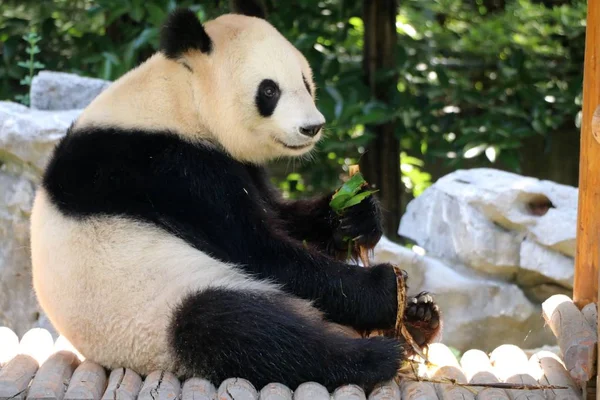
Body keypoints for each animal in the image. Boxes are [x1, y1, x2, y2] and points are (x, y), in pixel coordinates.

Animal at [29, 0, 440, 394]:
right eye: (269, 90)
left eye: (305, 82)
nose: (312, 127)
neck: (180, 98)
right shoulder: (168, 169)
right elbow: (260, 252)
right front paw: (385, 287)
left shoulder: (234, 165)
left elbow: (282, 217)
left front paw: (355, 216)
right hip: (153, 307)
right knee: (239, 330)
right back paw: (377, 354)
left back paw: (421, 317)